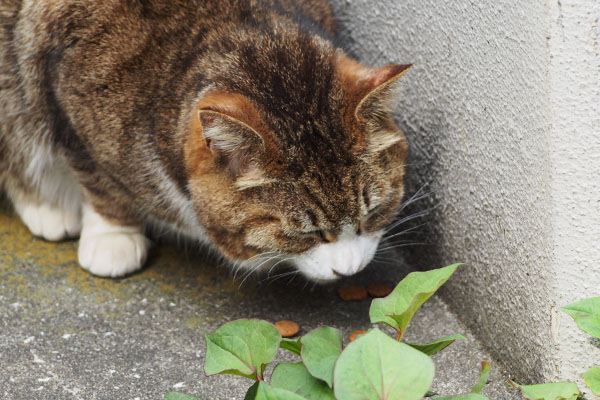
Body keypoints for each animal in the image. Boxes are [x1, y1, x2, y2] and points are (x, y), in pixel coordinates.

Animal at [0, 0, 410, 282]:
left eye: (373, 213)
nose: (350, 272)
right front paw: (112, 234)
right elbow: (99, 179)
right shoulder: (63, 85)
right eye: (306, 232)